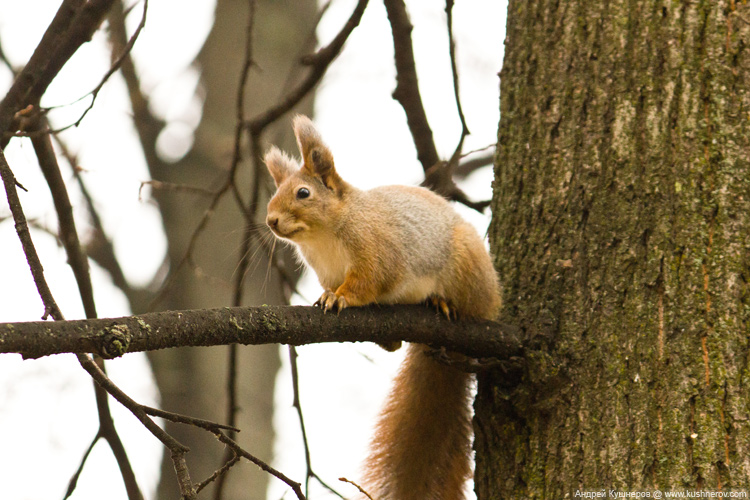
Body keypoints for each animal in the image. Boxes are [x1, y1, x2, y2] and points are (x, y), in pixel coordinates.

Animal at [262, 115, 502, 498]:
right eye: (274, 193)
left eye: (303, 193)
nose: (271, 221)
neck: (322, 237)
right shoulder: (324, 271)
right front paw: (326, 296)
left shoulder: (376, 253)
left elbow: (368, 283)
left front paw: (340, 297)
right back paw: (387, 339)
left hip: (469, 273)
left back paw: (442, 301)